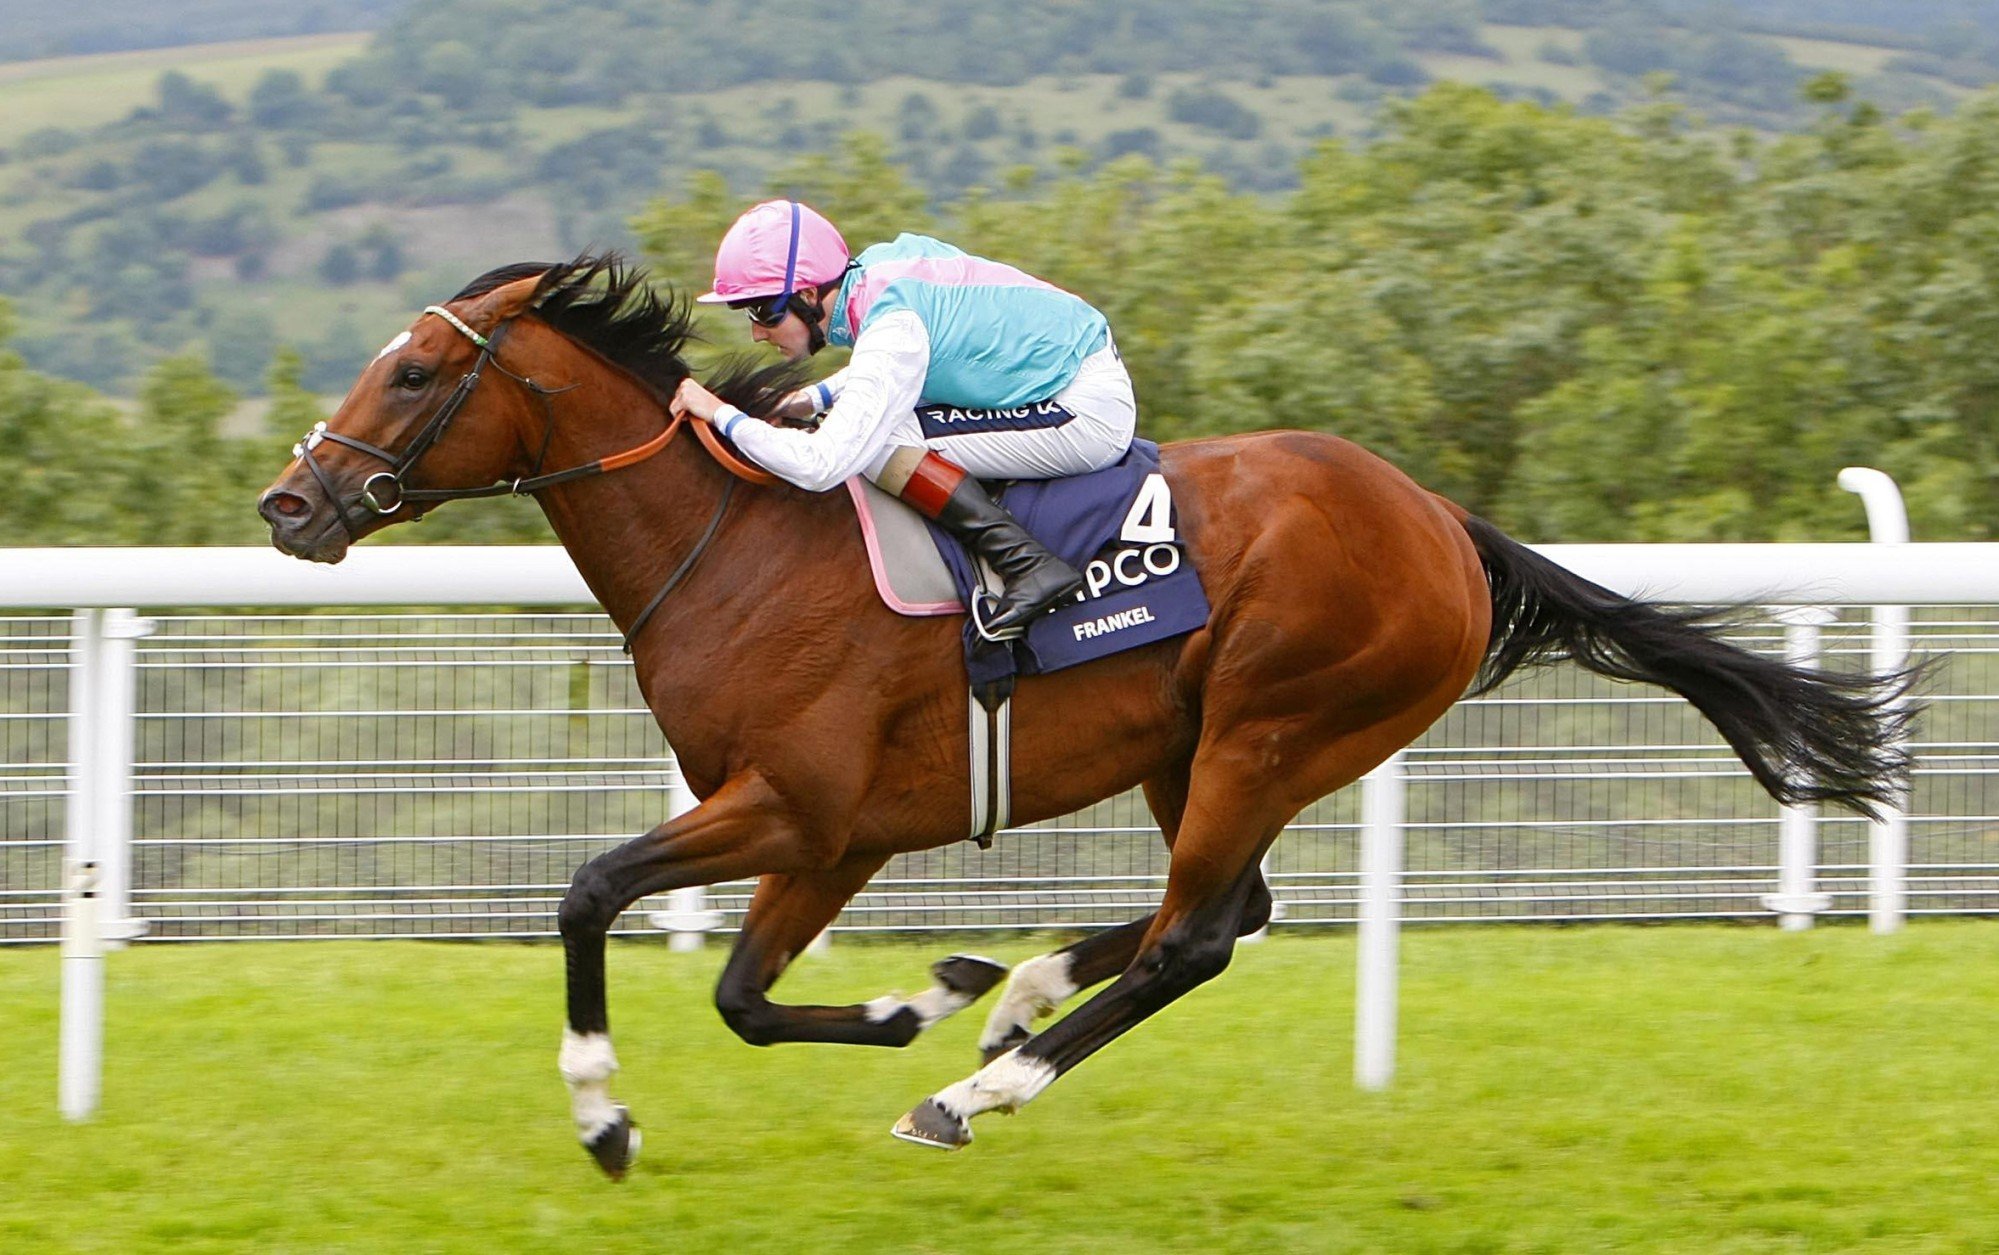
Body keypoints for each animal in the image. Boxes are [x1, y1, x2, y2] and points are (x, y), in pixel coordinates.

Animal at [257, 252, 1911, 1175]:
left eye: (413, 369)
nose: (291, 504)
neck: (735, 544)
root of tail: (1442, 522)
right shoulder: (830, 834)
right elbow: (735, 989)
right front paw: (919, 991)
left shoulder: (798, 804)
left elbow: (593, 891)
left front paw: (604, 1116)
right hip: (1202, 750)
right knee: (1226, 909)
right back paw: (1017, 990)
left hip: (1269, 723)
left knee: (1196, 934)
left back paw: (979, 1084)